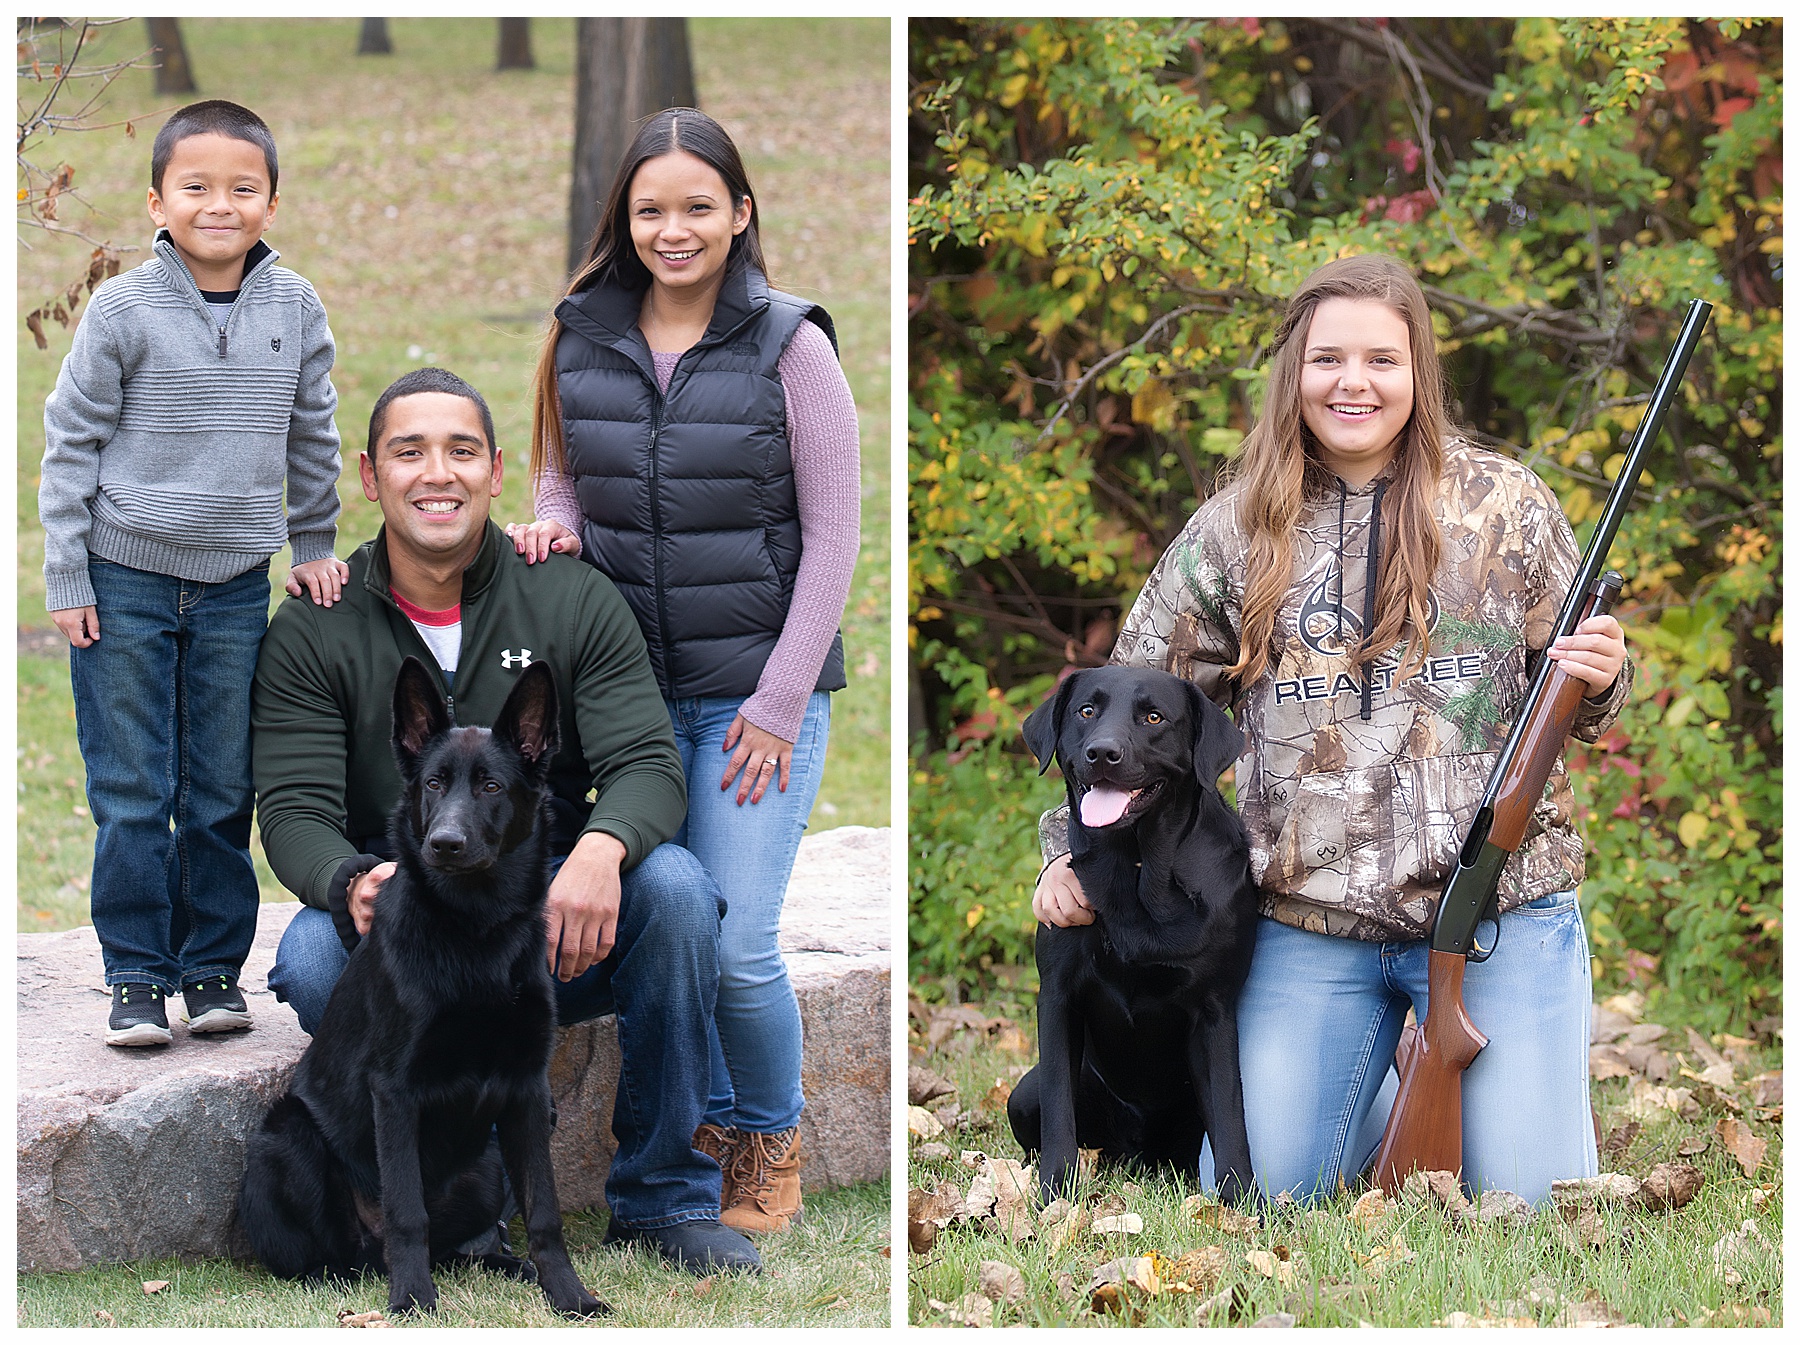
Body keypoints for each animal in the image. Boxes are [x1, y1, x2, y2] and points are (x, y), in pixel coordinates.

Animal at [235, 658, 604, 1317]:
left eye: (490, 788)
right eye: (433, 784)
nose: (444, 844)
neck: (475, 933)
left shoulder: (528, 1092)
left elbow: (544, 1210)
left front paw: (568, 1295)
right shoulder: (395, 1091)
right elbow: (407, 1213)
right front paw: (412, 1302)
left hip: (486, 1169)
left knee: (457, 1246)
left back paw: (506, 1265)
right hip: (289, 1140)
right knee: (342, 1256)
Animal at [1008, 669, 1260, 1202]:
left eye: (1154, 717)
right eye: (1086, 711)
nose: (1102, 753)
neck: (1137, 867)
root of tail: (1138, 1151)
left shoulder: (1215, 1009)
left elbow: (1231, 1116)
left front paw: (1242, 1203)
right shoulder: (1056, 997)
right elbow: (1059, 1113)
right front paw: (1055, 1197)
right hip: (1023, 1095)